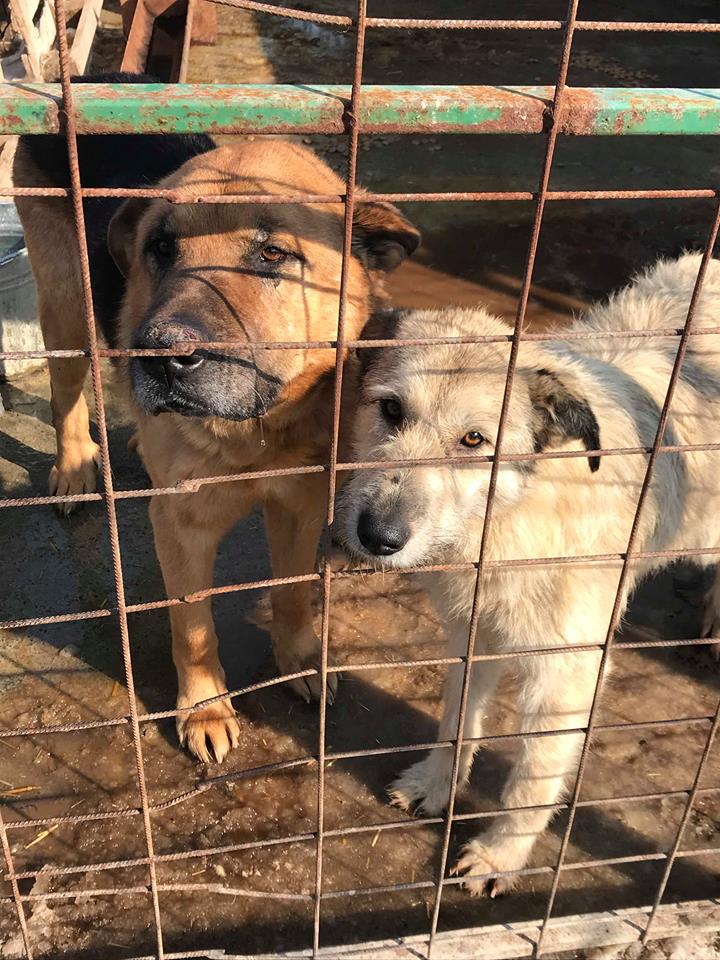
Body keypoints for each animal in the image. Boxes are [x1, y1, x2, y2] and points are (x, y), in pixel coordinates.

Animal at [14, 114, 420, 756]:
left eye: (273, 253)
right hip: (65, 302)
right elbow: (193, 625)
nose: (158, 356)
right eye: (160, 248)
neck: (257, 432)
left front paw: (299, 660)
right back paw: (76, 466)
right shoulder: (181, 525)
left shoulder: (301, 504)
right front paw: (204, 709)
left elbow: (291, 591)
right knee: (66, 392)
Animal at [336, 255, 720, 900]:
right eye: (390, 410)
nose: (378, 537)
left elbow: (532, 780)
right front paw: (436, 784)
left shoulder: (567, 676)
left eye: (474, 440)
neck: (511, 515)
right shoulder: (472, 633)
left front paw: (501, 855)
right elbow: (457, 719)